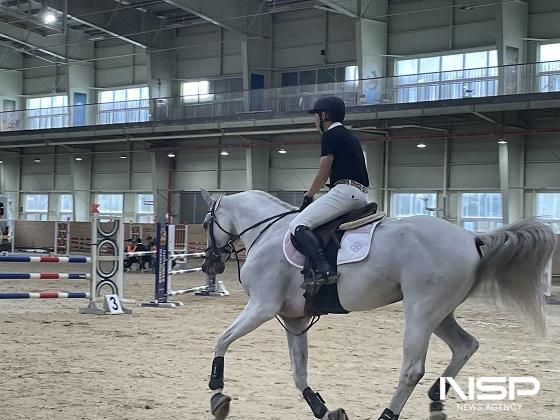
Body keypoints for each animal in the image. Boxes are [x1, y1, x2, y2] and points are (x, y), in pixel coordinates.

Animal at [199, 190, 552, 420]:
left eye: (205, 224)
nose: (209, 265)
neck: (267, 232)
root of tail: (470, 238)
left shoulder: (262, 307)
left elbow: (222, 339)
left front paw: (217, 391)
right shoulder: (294, 318)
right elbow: (299, 373)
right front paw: (325, 410)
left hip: (421, 311)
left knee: (412, 369)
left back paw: (387, 414)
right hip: (439, 313)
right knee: (466, 345)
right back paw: (436, 398)